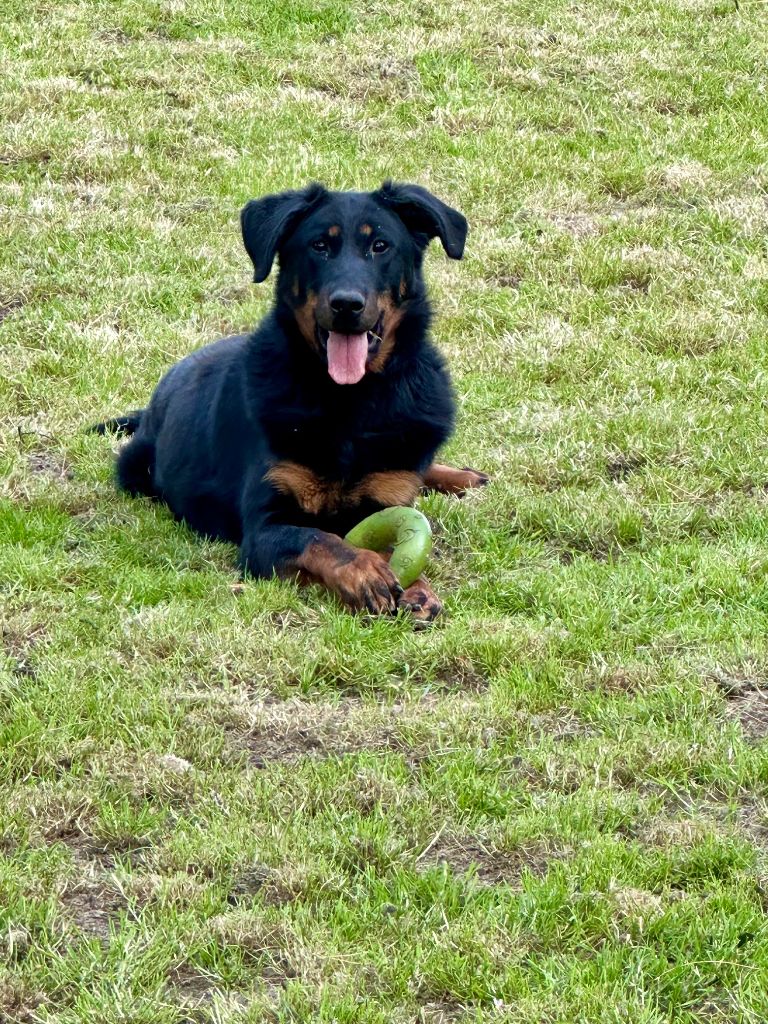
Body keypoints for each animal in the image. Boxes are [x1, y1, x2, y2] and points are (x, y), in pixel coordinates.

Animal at [96, 180, 489, 618]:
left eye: (381, 246)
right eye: (319, 246)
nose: (346, 304)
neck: (349, 401)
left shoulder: (388, 496)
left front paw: (418, 588)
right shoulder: (264, 529)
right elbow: (321, 539)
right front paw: (366, 570)